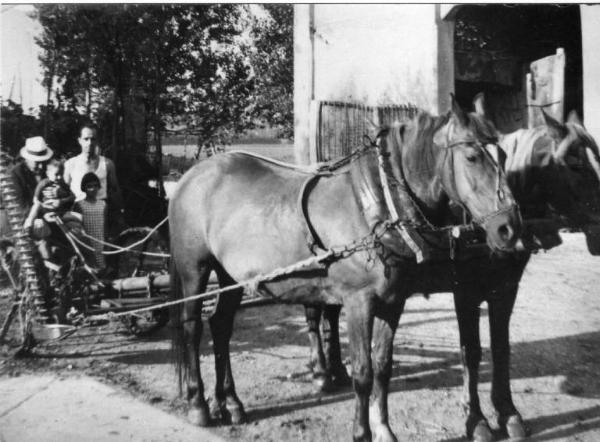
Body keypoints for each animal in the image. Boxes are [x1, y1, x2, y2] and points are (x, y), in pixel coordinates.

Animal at [168, 97, 520, 442]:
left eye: (503, 155)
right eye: (472, 156)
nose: (509, 229)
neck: (378, 206)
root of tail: (190, 177)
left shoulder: (393, 302)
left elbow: (382, 367)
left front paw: (384, 429)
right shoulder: (358, 302)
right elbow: (362, 373)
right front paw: (361, 432)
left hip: (231, 276)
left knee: (221, 326)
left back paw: (230, 402)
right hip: (195, 269)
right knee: (191, 327)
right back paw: (199, 404)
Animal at [304, 100, 600, 442]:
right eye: (575, 164)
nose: (509, 230)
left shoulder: (504, 291)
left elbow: (501, 348)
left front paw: (507, 412)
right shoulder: (466, 293)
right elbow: (470, 352)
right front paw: (477, 420)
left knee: (330, 312)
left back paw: (336, 370)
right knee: (315, 312)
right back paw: (321, 371)